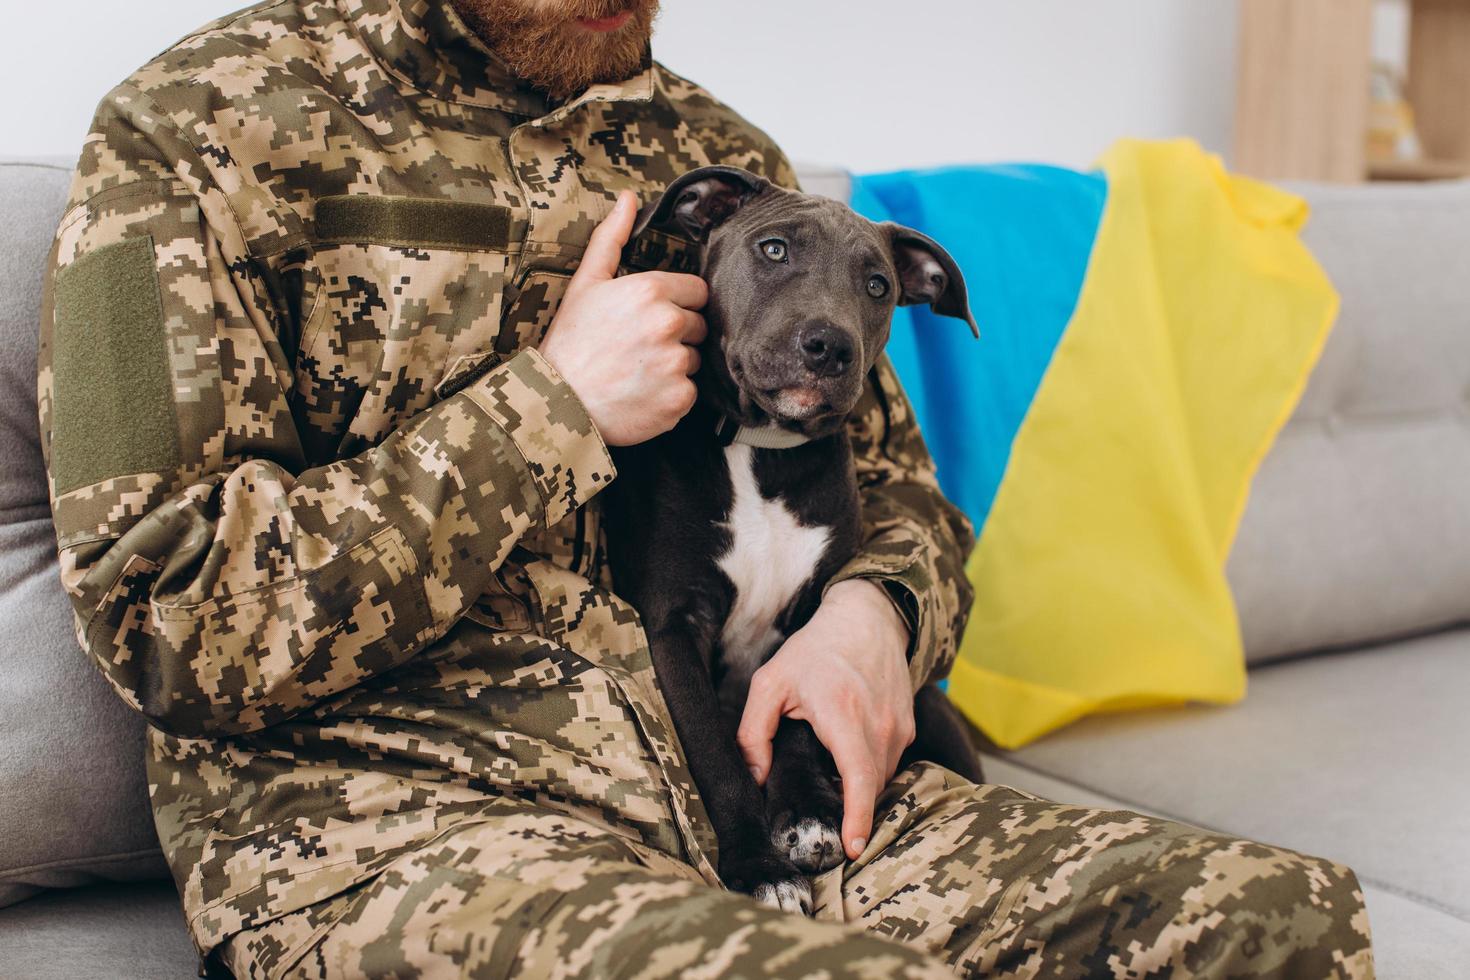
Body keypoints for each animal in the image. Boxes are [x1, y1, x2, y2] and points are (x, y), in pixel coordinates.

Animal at [596, 166, 987, 910]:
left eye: (878, 286)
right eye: (774, 250)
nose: (829, 347)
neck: (759, 450)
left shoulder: (814, 618)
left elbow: (803, 720)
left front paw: (805, 814)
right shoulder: (673, 625)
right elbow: (715, 754)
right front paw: (759, 867)